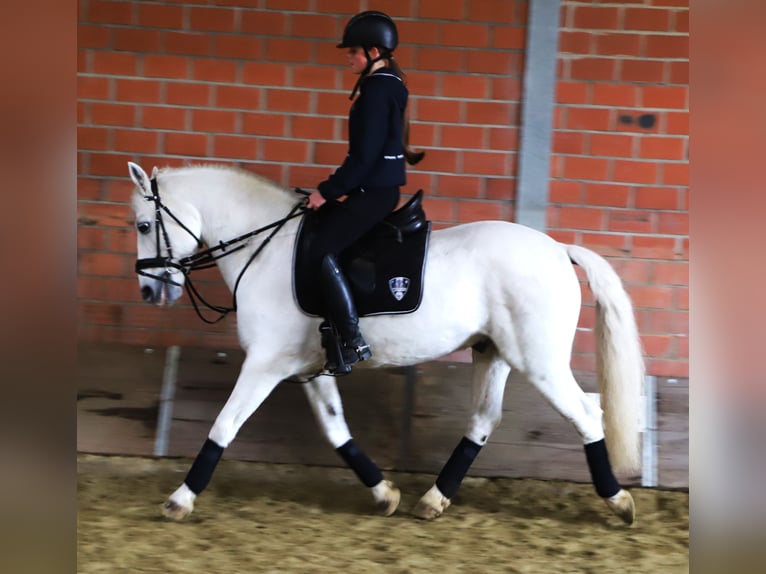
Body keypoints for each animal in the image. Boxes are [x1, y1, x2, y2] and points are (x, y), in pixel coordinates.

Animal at [127, 161, 644, 525]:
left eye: (143, 225)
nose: (150, 292)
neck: (265, 248)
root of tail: (558, 249)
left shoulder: (264, 364)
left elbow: (223, 426)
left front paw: (179, 500)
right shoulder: (307, 369)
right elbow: (336, 431)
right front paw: (384, 494)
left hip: (537, 360)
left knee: (586, 414)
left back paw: (618, 501)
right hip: (493, 351)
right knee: (483, 420)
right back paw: (433, 499)